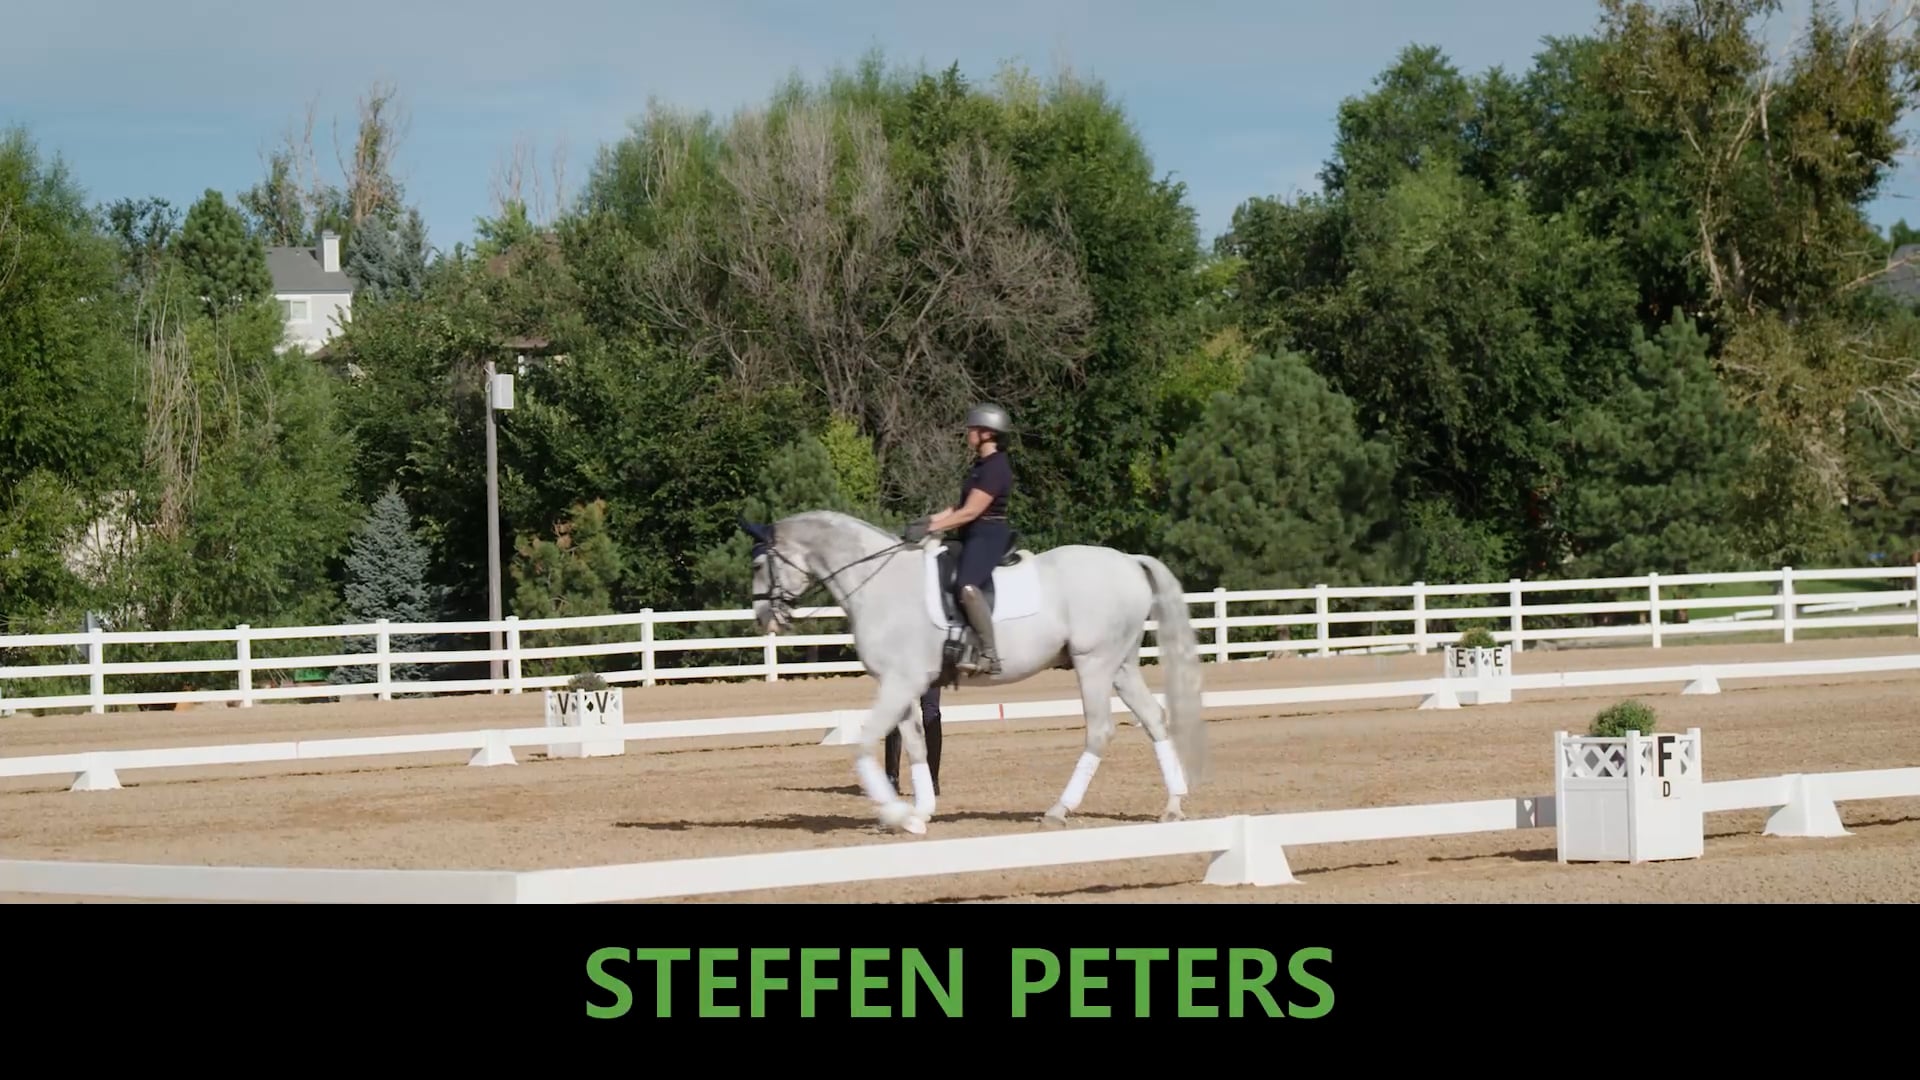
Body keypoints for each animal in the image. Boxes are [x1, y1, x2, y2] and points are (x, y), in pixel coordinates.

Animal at [739, 510, 1208, 837]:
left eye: (759, 566)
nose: (764, 617)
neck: (878, 582)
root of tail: (1129, 561)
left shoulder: (900, 682)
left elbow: (867, 741)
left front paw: (896, 814)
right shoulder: (902, 683)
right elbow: (914, 745)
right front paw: (919, 813)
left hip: (1093, 663)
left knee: (1100, 730)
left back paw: (1058, 811)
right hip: (1120, 665)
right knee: (1154, 719)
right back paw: (1173, 806)